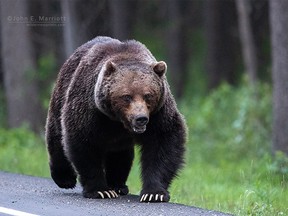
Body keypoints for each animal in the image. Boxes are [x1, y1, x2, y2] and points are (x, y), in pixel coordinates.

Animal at [44, 35, 186, 202]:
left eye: (148, 95)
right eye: (126, 96)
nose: (141, 118)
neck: (118, 121)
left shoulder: (159, 114)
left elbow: (163, 142)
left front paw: (154, 193)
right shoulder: (90, 111)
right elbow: (84, 143)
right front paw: (100, 190)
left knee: (120, 156)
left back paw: (118, 185)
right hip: (61, 96)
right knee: (57, 138)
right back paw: (65, 179)